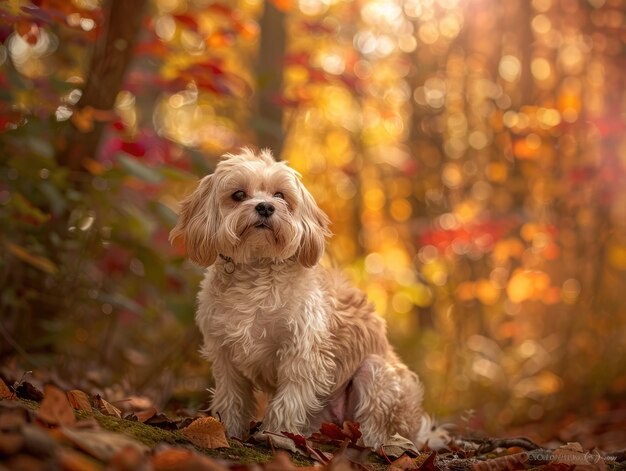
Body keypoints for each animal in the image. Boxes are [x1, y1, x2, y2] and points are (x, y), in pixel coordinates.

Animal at [168, 149, 446, 452]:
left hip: (377, 372)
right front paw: (227, 430)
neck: (256, 268)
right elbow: (232, 397)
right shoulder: (225, 354)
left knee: (378, 426)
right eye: (238, 194)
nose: (265, 207)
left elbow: (288, 401)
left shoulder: (302, 352)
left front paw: (276, 435)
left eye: (280, 195)